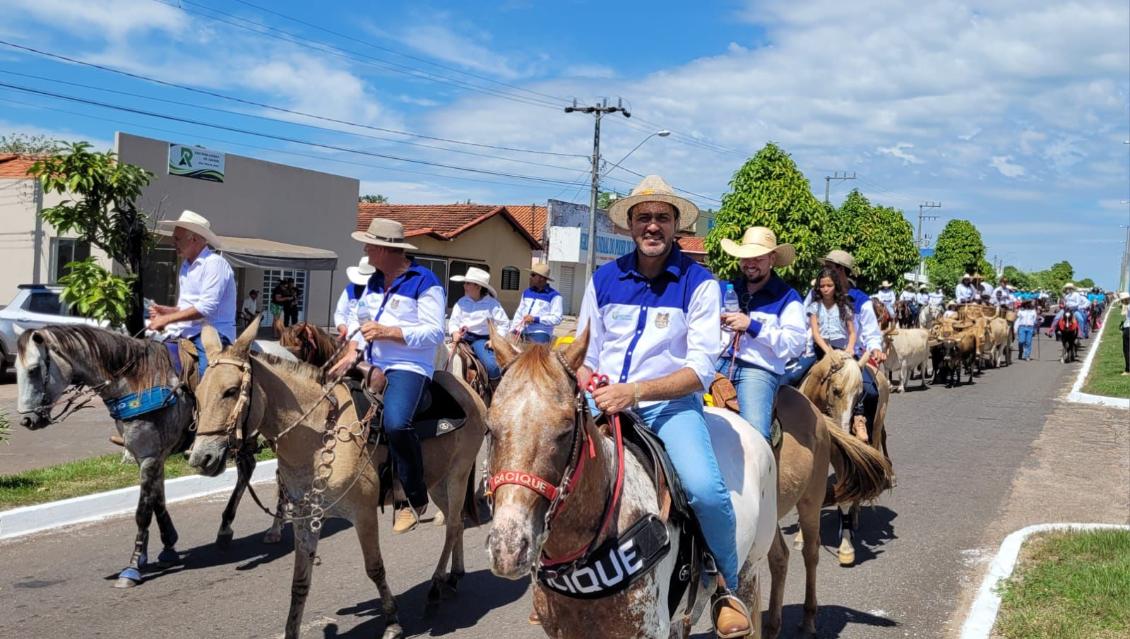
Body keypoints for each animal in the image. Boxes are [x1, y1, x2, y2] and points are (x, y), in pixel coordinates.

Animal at [13, 325, 284, 583]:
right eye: (15, 369)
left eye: (34, 370)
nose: (27, 420)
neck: (135, 383)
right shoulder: (148, 456)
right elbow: (157, 500)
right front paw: (166, 547)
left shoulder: (150, 456)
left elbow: (143, 511)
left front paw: (132, 567)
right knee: (248, 468)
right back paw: (229, 527)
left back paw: (260, 528)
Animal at [186, 323, 485, 637]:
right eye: (198, 393)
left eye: (231, 391)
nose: (201, 458)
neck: (319, 433)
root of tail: (469, 392)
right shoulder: (307, 518)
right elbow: (299, 583)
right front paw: (291, 629)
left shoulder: (363, 514)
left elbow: (374, 567)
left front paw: (392, 620)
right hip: (437, 482)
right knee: (456, 521)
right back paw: (454, 576)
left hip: (457, 475)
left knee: (453, 526)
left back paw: (436, 588)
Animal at [795, 350, 890, 565]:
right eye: (836, 390)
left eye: (859, 395)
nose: (844, 430)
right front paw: (800, 536)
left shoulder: (843, 455)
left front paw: (846, 548)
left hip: (875, 433)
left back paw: (854, 517)